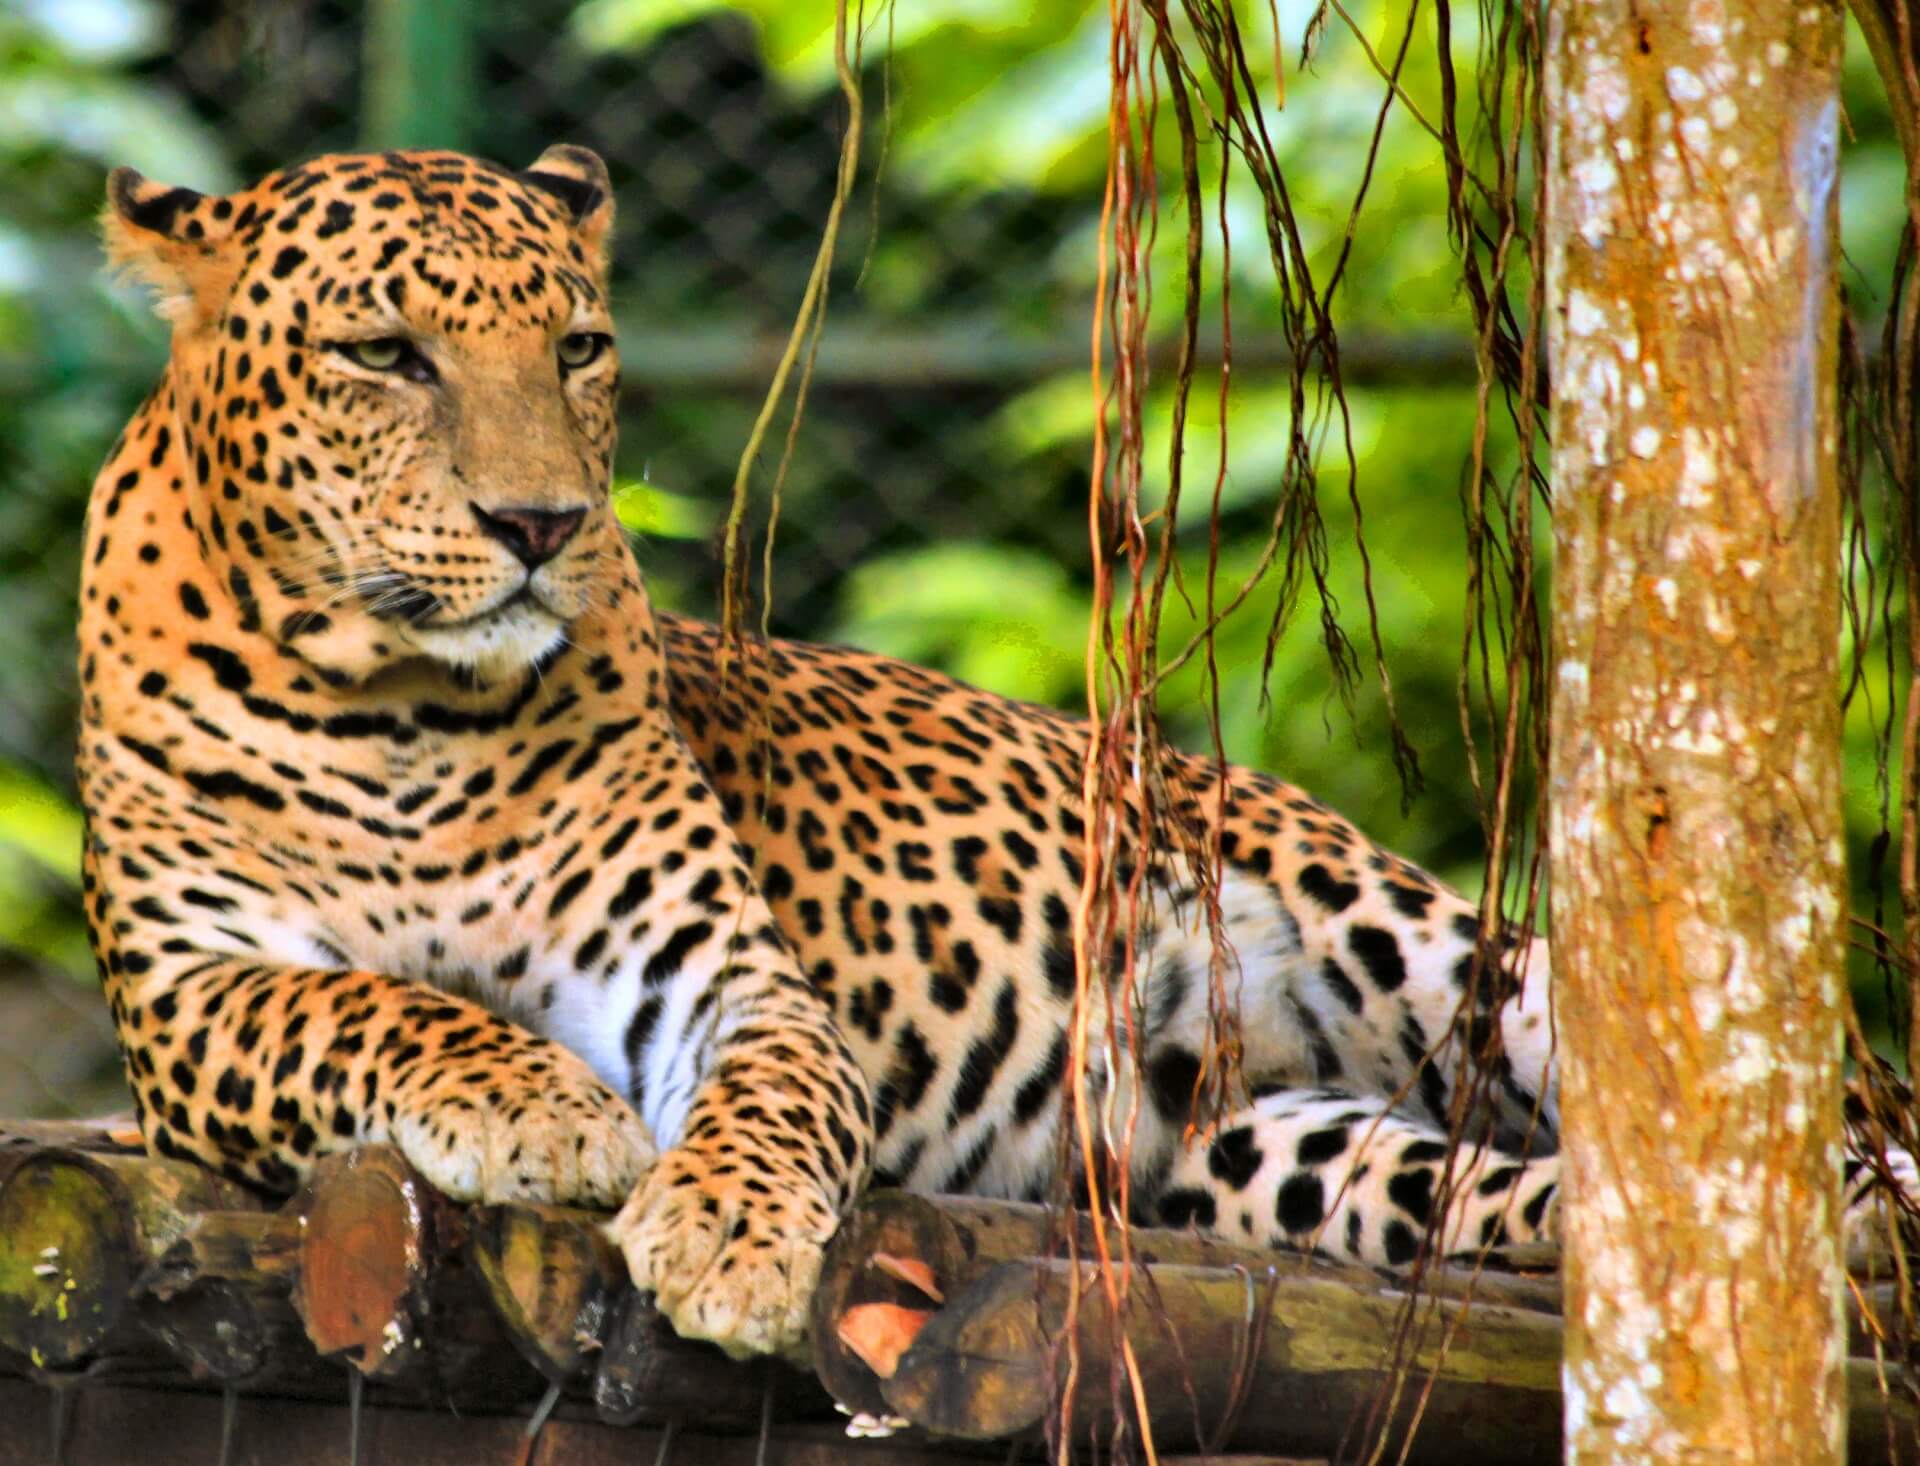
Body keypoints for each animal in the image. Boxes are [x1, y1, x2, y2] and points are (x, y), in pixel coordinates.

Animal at [74, 140, 1904, 1366]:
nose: (541, 527)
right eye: (385, 355)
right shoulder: (190, 998)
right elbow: (362, 1005)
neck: (408, 707)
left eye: (578, 349)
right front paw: (542, 1106)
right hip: (1248, 1157)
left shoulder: (721, 973)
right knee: (1462, 1186)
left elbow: (772, 1093)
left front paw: (727, 1235)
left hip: (1441, 949)